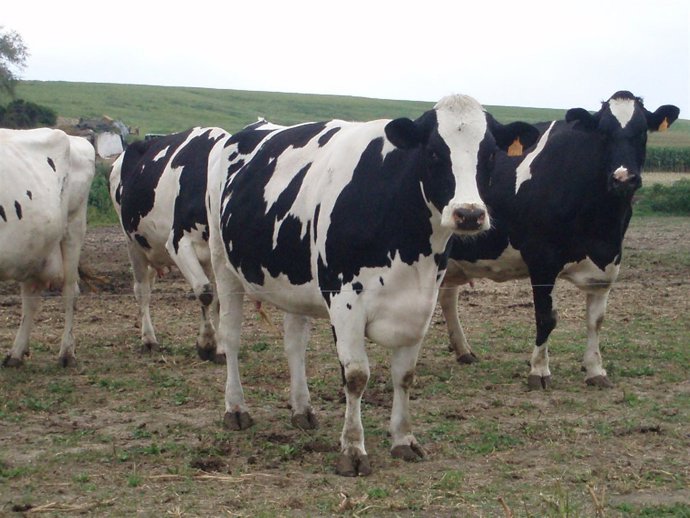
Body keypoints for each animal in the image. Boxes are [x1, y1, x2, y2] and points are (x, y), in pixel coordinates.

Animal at [1, 128, 95, 367]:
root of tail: (75, 139)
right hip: (32, 248)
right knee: (30, 297)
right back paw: (16, 353)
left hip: (73, 227)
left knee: (70, 290)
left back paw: (66, 353)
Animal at [109, 127, 230, 362]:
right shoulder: (178, 243)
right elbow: (205, 292)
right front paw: (206, 344)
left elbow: (219, 299)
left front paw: (220, 348)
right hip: (133, 243)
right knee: (141, 290)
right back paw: (148, 339)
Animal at [206, 95, 540, 476]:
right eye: (433, 152)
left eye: (491, 154)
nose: (469, 214)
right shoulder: (345, 301)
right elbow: (355, 376)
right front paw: (352, 449)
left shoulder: (420, 305)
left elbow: (405, 375)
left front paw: (404, 439)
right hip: (223, 264)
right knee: (232, 337)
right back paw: (236, 409)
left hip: (294, 281)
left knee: (294, 345)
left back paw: (302, 409)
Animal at [439, 91, 680, 389]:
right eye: (603, 133)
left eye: (642, 131)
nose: (623, 178)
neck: (602, 225)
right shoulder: (542, 258)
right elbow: (546, 317)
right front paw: (539, 371)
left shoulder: (607, 264)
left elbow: (595, 320)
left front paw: (595, 370)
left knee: (447, 297)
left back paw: (463, 351)